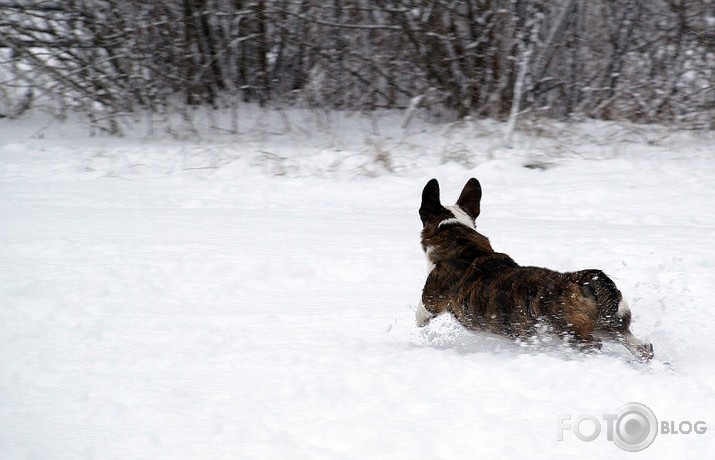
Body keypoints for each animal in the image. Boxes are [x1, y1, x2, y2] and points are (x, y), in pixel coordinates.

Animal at [416, 178, 656, 362]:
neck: (456, 233)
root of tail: (583, 279)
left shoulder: (432, 299)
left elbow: (421, 313)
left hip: (573, 332)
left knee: (593, 345)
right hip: (612, 326)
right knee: (640, 346)